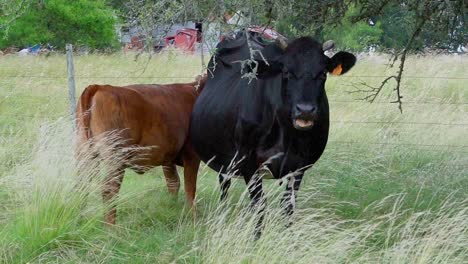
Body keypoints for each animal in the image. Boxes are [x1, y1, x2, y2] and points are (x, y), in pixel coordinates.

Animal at [76, 75, 206, 224]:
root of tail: (99, 87)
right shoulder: (191, 155)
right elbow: (190, 189)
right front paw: (194, 220)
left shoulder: (168, 158)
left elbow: (173, 183)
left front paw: (172, 209)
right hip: (115, 159)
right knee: (109, 191)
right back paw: (111, 228)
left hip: (84, 156)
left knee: (81, 187)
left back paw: (78, 221)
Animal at [189, 31, 354, 235]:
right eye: (286, 72)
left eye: (323, 73)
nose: (305, 110)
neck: (287, 134)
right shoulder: (249, 163)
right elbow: (259, 205)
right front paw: (256, 239)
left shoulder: (300, 165)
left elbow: (289, 205)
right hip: (223, 159)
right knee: (224, 188)